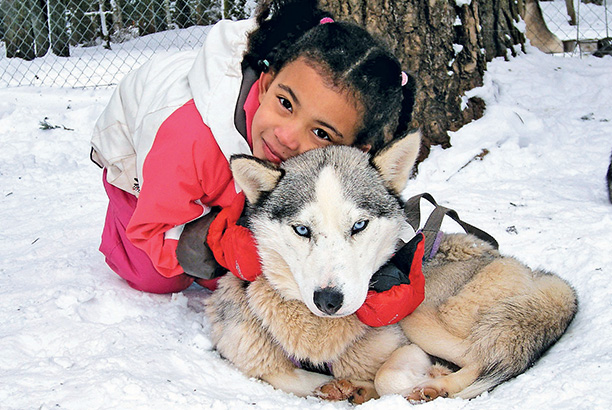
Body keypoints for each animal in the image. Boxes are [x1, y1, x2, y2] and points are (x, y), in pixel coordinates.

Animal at [207, 132, 580, 404]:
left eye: (359, 225)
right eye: (302, 230)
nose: (329, 300)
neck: (319, 334)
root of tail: (542, 277)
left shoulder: (405, 347)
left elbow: (388, 377)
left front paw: (417, 379)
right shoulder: (256, 356)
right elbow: (288, 376)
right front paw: (340, 387)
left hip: (422, 315)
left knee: (484, 358)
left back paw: (440, 385)